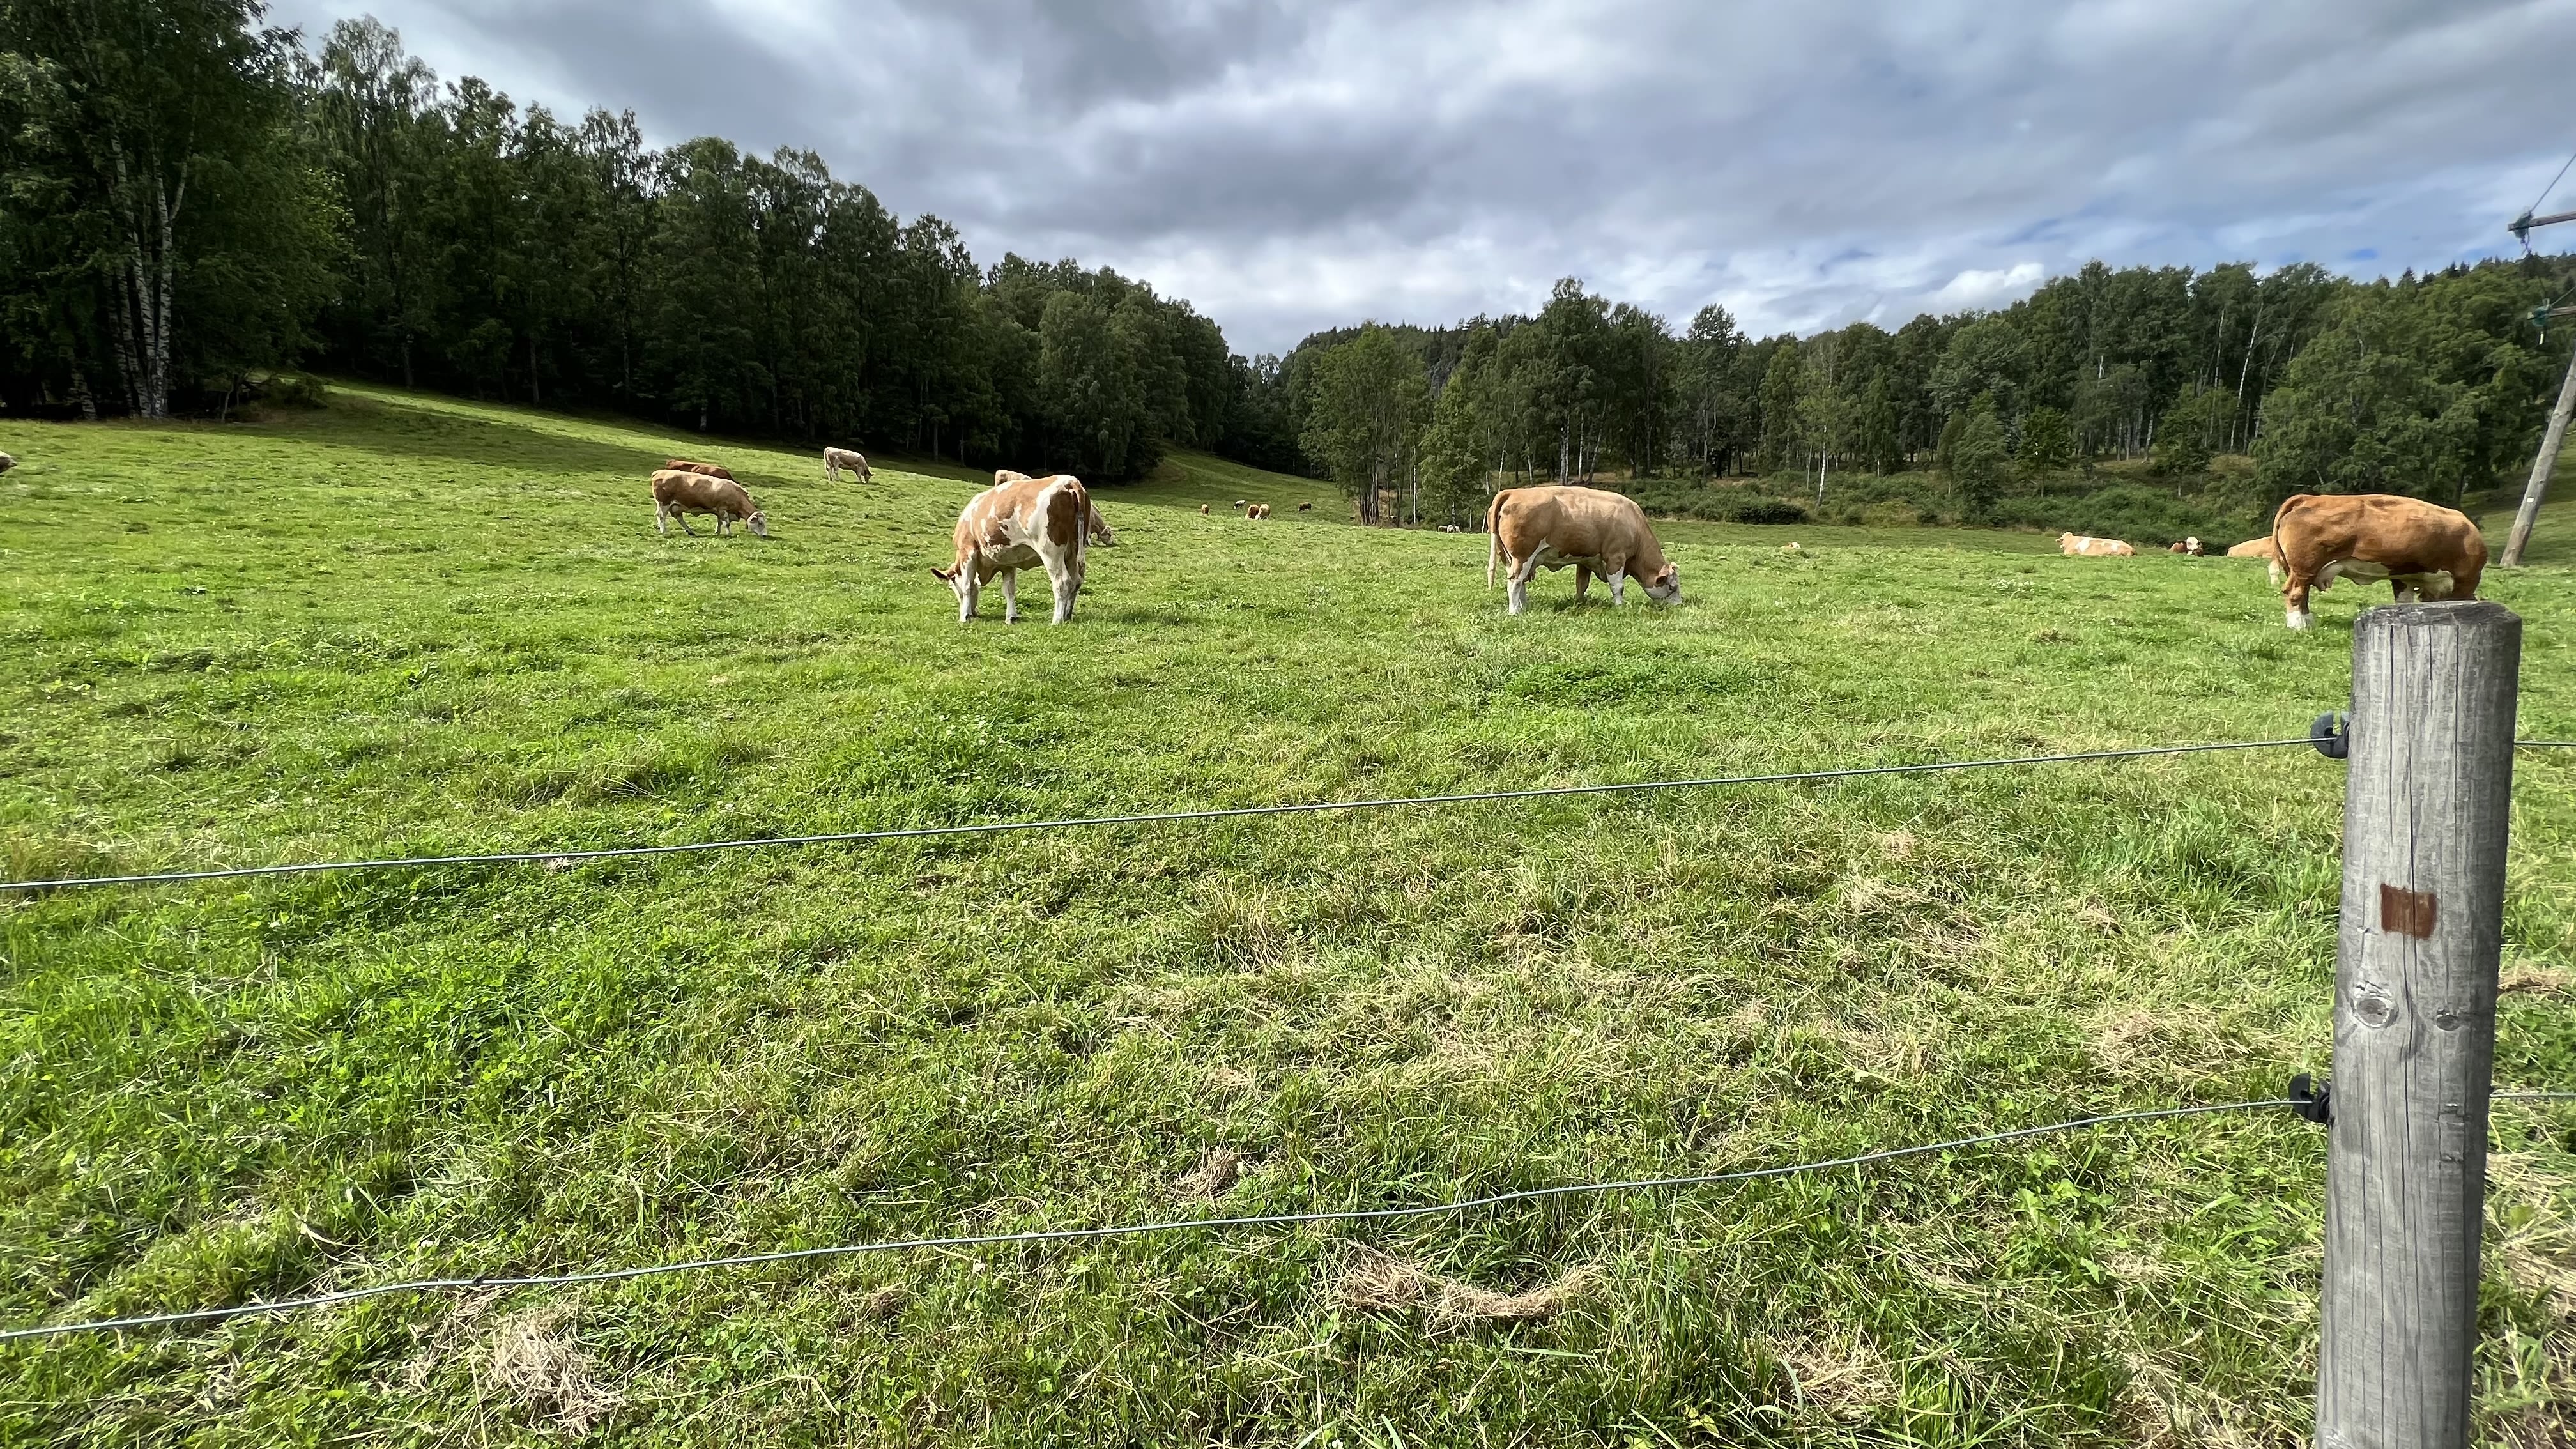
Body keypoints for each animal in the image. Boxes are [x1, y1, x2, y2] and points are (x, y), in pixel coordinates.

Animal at [649, 469, 767, 536]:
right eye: (760, 523)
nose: (765, 535)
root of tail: (660, 472)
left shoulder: (720, 511)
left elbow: (720, 522)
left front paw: (717, 532)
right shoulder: (723, 509)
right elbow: (727, 523)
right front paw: (729, 534)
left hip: (677, 506)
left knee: (679, 517)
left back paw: (690, 531)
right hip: (664, 503)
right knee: (661, 516)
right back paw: (664, 531)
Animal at [927, 474, 1087, 621]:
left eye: (952, 587)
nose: (975, 613)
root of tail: (1069, 481)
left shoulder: (968, 552)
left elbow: (968, 586)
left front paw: (965, 616)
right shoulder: (1008, 563)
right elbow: (1009, 590)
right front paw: (1012, 617)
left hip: (1050, 551)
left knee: (1062, 582)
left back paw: (1057, 620)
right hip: (1072, 552)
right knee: (1076, 581)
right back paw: (1067, 616)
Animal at [1483, 477, 1679, 606]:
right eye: (1673, 587)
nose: (1678, 606)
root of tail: (1512, 492)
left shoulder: (1586, 560)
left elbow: (1581, 585)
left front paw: (1580, 604)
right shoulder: (1615, 557)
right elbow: (1618, 586)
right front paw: (1620, 607)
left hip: (1509, 558)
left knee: (1520, 582)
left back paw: (1524, 607)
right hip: (1523, 556)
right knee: (1515, 582)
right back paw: (1515, 612)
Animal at [2267, 489, 2483, 626]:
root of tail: (2308, 498)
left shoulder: (2403, 576)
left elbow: (2404, 601)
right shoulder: (2466, 580)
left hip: (2296, 569)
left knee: (2302, 595)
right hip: (2306, 566)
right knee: (2295, 593)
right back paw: (2299, 625)